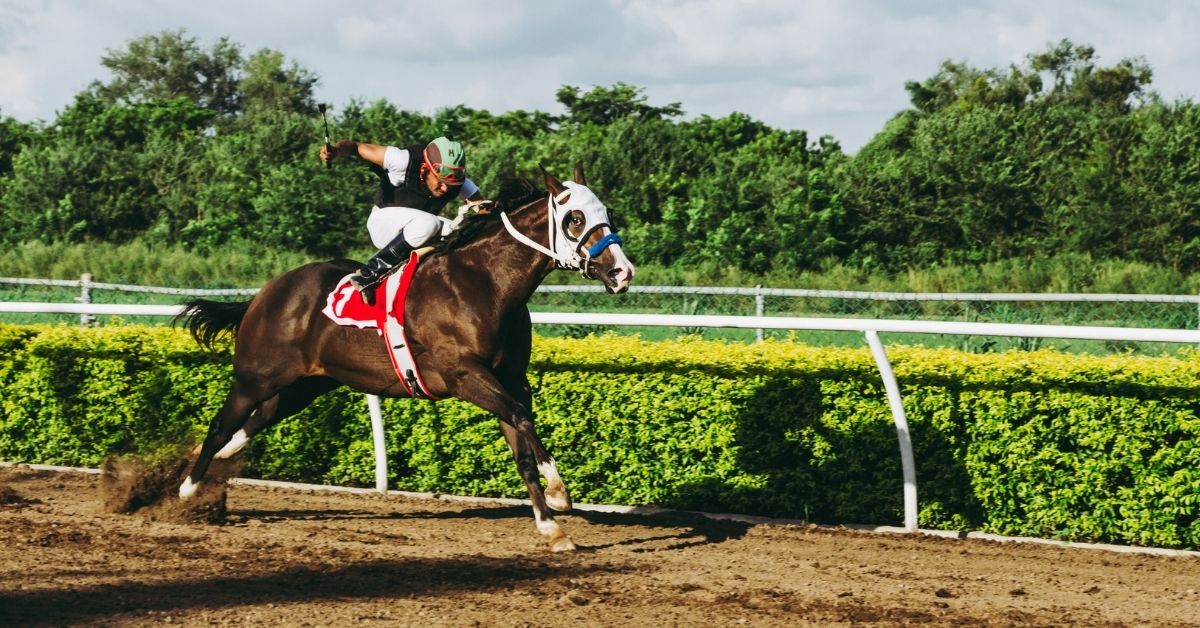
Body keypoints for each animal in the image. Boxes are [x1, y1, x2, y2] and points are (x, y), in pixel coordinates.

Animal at [175, 165, 638, 549]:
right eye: (574, 218)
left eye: (609, 213)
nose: (622, 272)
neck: (486, 284)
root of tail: (263, 294)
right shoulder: (465, 376)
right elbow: (522, 421)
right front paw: (560, 495)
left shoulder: (511, 380)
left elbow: (522, 444)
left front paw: (551, 527)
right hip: (254, 377)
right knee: (220, 424)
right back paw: (187, 489)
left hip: (305, 385)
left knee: (254, 421)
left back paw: (219, 460)